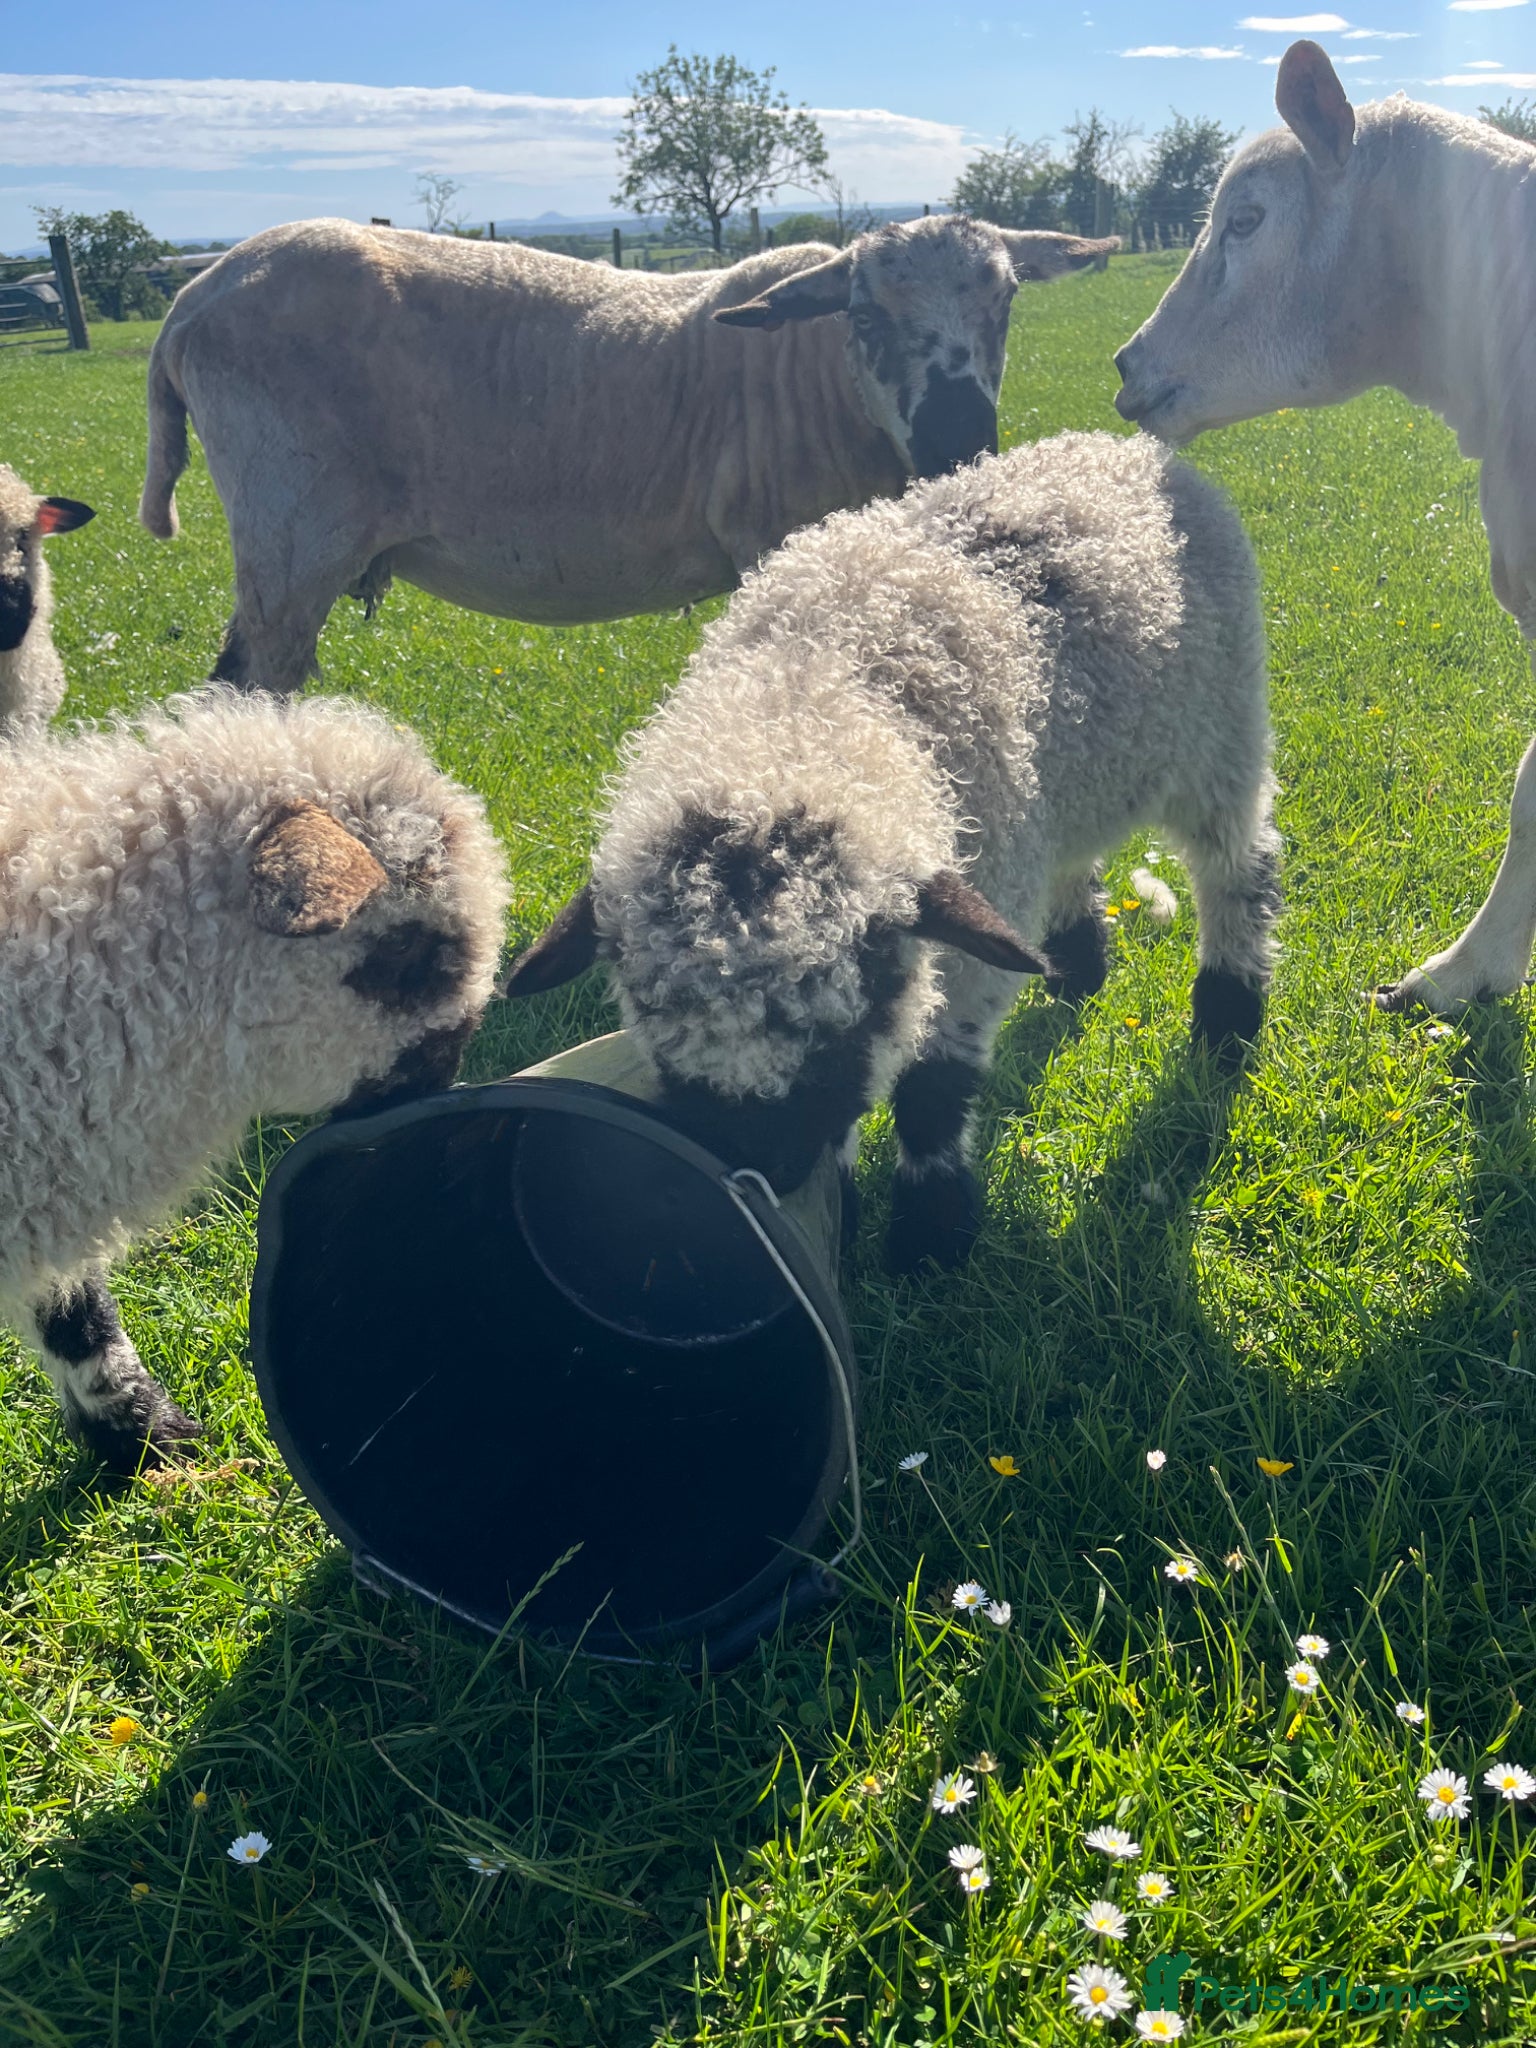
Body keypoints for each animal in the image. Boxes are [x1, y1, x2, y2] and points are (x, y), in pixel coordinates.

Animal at [138, 214, 1116, 693]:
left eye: (1006, 301)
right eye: (867, 314)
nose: (962, 444)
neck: (820, 378)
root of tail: (193, 298)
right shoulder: (770, 541)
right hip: (290, 528)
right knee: (247, 686)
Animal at [504, 431, 1279, 1273]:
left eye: (854, 1016)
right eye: (646, 1010)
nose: (766, 1166)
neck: (804, 698)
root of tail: (1121, 447)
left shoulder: (977, 914)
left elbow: (933, 1086)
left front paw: (930, 1237)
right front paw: (843, 1215)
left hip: (1222, 731)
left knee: (1240, 866)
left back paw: (1228, 1022)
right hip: (1076, 775)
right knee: (1077, 856)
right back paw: (1077, 969)